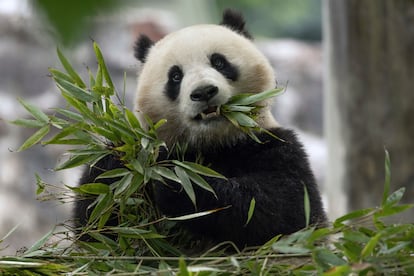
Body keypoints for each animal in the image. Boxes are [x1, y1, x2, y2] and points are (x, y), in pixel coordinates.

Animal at [73, 9, 326, 250]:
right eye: (175, 76)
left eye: (219, 62)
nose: (204, 92)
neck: (213, 143)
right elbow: (96, 225)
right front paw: (120, 163)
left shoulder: (273, 145)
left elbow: (287, 209)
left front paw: (177, 183)